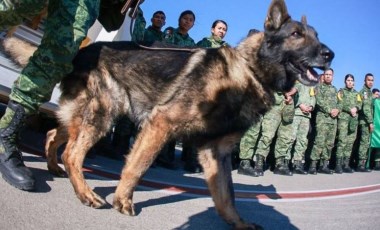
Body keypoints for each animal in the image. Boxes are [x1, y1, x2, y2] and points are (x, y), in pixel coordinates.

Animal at [4, 0, 334, 228]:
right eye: (296, 34)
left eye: (317, 36)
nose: (329, 54)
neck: (249, 70)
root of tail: (79, 52)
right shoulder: (161, 124)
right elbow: (137, 167)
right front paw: (123, 200)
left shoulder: (216, 153)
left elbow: (227, 195)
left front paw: (238, 223)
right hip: (104, 114)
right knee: (73, 152)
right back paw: (85, 193)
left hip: (88, 115)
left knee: (54, 133)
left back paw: (55, 168)